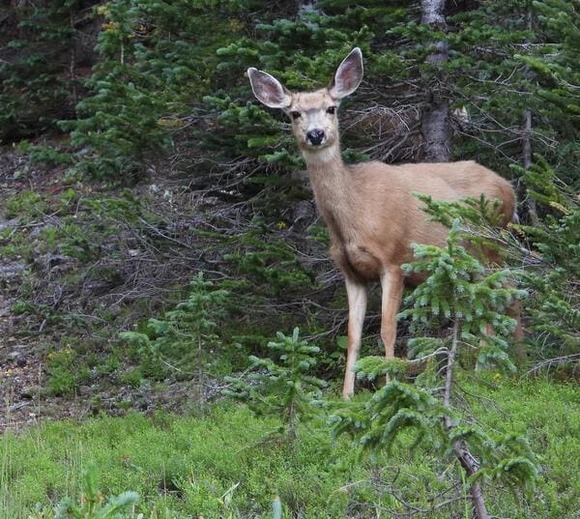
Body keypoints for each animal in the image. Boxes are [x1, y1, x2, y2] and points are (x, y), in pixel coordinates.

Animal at [247, 47, 524, 398]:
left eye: (331, 108)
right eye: (294, 114)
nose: (316, 134)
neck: (354, 215)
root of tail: (510, 189)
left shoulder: (393, 260)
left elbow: (386, 330)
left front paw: (391, 387)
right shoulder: (351, 272)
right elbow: (353, 335)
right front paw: (346, 395)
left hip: (492, 247)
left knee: (511, 293)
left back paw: (519, 367)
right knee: (485, 301)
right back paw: (482, 371)